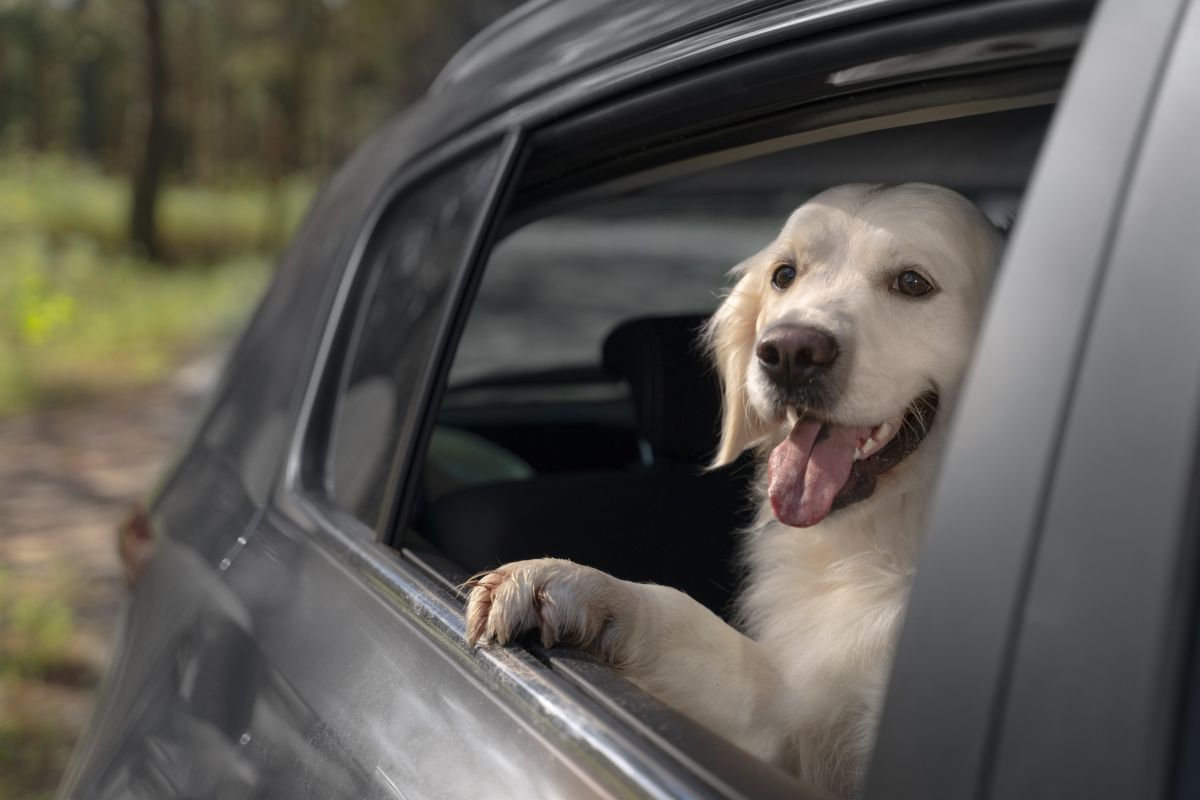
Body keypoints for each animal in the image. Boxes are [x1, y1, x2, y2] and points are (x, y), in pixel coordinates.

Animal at [463, 184, 998, 796]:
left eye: (912, 283)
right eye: (785, 274)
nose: (789, 352)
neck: (880, 541)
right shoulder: (788, 715)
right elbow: (681, 615)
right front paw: (564, 581)